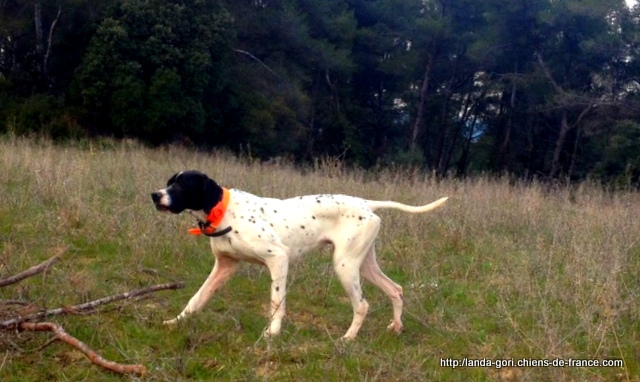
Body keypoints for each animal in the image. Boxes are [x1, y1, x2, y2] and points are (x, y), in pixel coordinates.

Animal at [152, 170, 448, 340]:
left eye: (181, 186)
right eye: (168, 183)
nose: (155, 195)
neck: (223, 211)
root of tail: (366, 203)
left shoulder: (278, 258)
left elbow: (276, 302)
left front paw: (272, 333)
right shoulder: (224, 266)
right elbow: (197, 298)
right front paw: (175, 321)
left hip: (345, 266)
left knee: (362, 305)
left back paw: (348, 338)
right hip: (363, 264)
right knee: (395, 289)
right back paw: (396, 327)